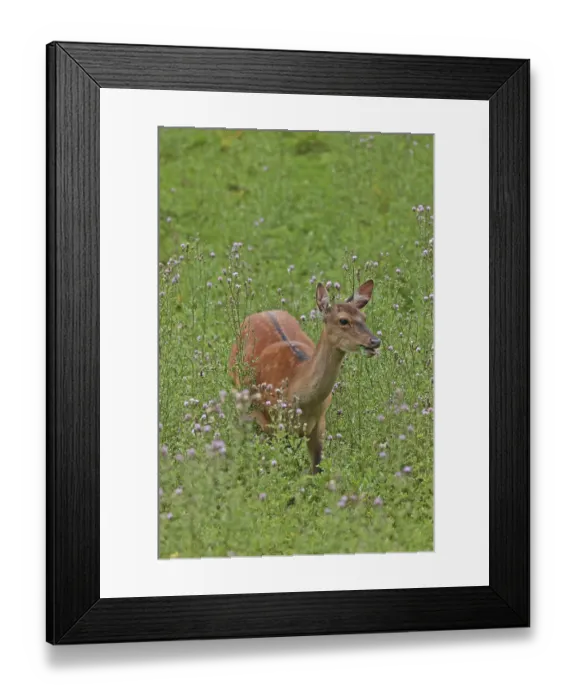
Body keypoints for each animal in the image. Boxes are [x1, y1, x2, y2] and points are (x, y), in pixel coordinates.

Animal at [228, 280, 380, 473]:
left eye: (364, 317)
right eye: (343, 320)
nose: (375, 341)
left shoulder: (319, 423)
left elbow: (317, 467)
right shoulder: (274, 423)